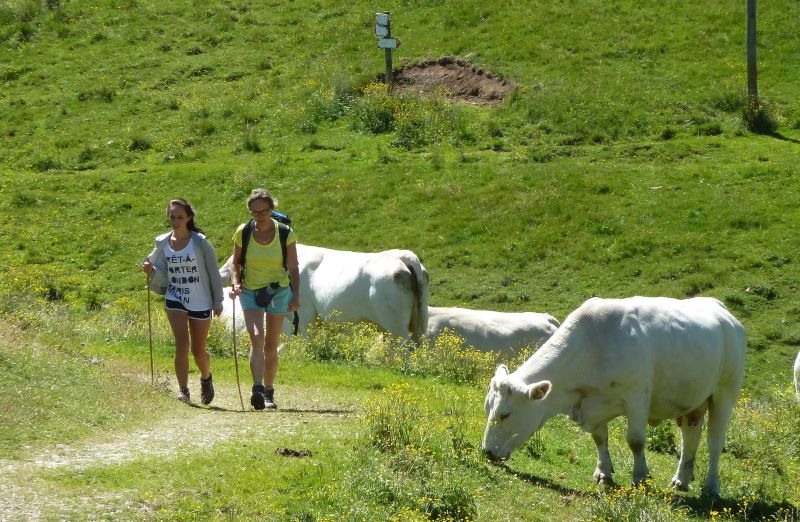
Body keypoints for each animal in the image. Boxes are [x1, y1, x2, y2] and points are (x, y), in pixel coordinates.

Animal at [482, 294, 752, 494]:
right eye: (488, 409)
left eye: (505, 414)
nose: (486, 452)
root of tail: (721, 310)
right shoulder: (593, 403)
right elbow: (600, 438)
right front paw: (603, 472)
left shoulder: (637, 396)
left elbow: (636, 441)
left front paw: (640, 477)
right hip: (692, 399)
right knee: (690, 437)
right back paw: (681, 479)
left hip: (725, 392)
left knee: (714, 443)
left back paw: (711, 487)